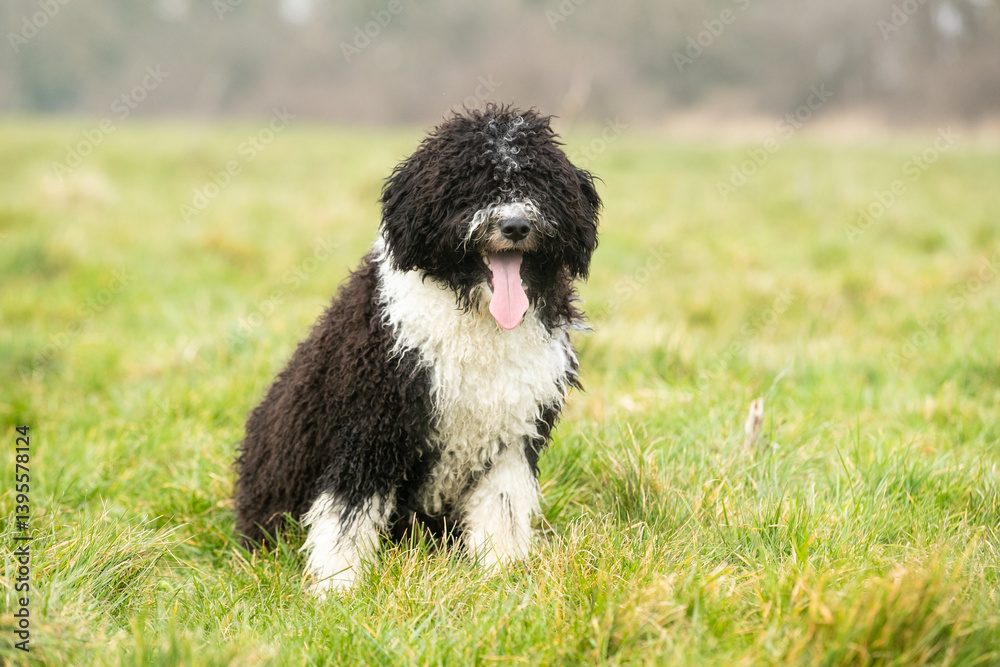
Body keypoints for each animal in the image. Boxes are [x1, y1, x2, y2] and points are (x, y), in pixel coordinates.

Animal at [234, 104, 601, 595]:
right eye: (471, 183)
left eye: (539, 181)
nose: (516, 224)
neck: (478, 317)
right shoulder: (371, 425)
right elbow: (347, 513)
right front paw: (337, 586)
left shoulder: (513, 429)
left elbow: (501, 510)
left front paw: (502, 575)